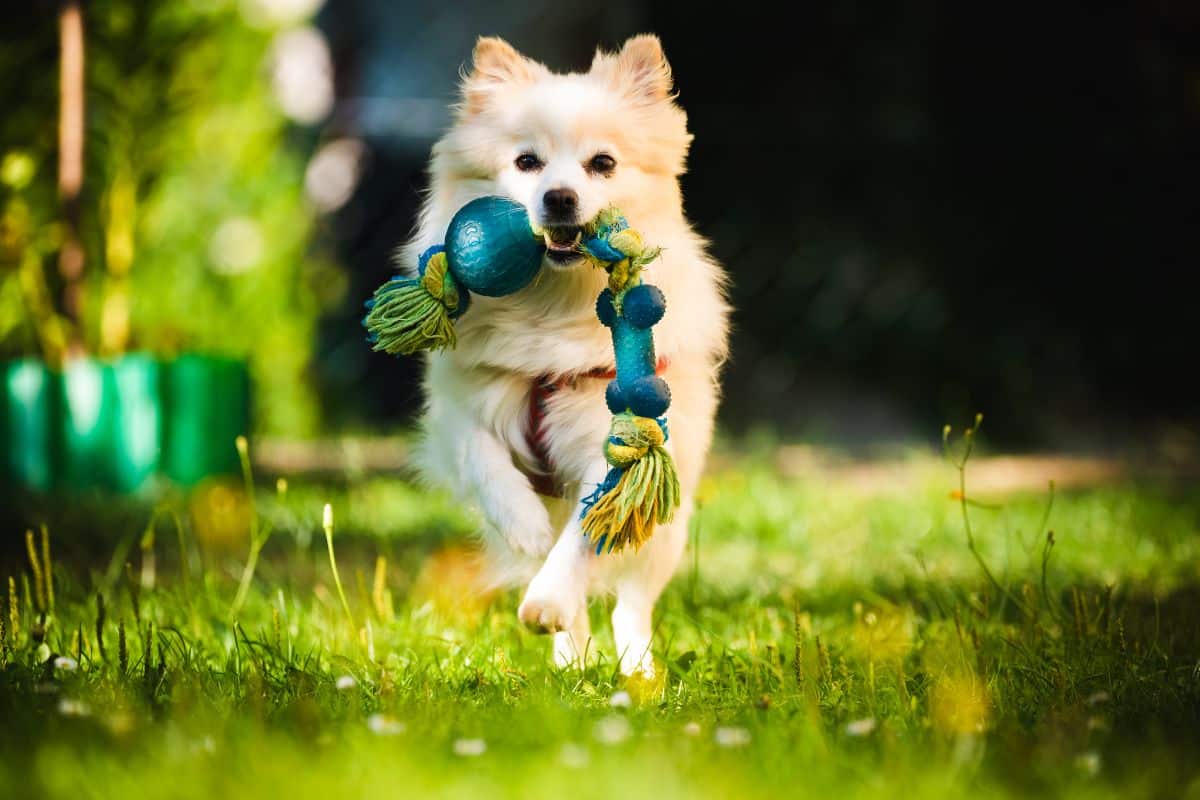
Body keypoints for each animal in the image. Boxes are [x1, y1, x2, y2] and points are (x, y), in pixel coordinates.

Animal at [400, 35, 729, 676]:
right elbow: (485, 459)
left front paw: (547, 599)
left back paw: (636, 671)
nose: (559, 198)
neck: (551, 306)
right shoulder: (461, 408)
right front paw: (523, 526)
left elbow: (583, 535)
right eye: (526, 162)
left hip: (665, 532)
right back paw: (571, 660)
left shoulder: (620, 441)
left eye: (602, 163)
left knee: (632, 603)